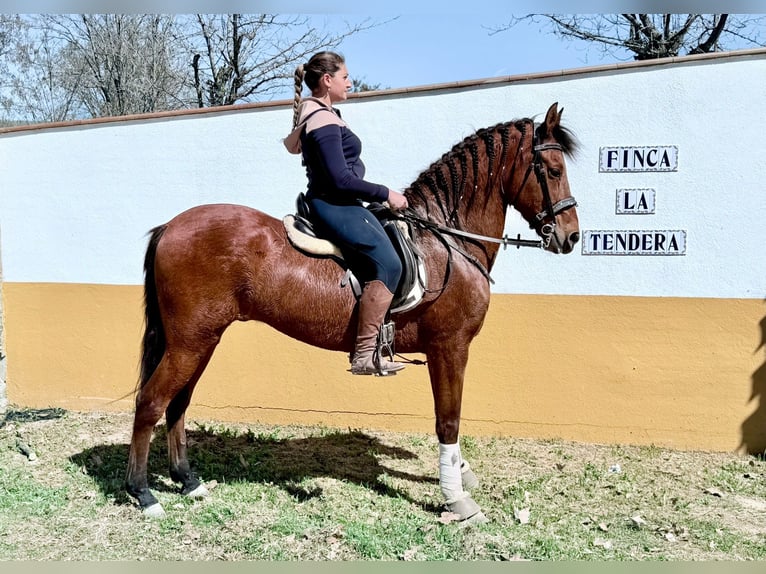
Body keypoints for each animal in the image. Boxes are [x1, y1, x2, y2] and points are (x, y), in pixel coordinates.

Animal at [126, 102, 580, 522]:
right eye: (553, 169)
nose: (571, 236)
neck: (446, 243)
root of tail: (171, 227)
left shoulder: (446, 351)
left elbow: (448, 416)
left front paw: (462, 475)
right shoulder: (450, 347)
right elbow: (448, 419)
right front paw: (458, 499)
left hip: (201, 340)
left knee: (177, 404)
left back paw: (188, 482)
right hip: (190, 341)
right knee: (150, 402)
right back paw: (143, 493)